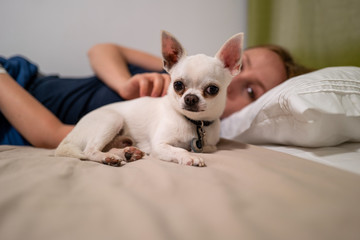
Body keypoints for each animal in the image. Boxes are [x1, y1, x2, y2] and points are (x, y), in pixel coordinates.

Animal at [54, 30, 243, 167]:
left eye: (212, 89)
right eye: (178, 85)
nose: (190, 98)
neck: (194, 122)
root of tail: (68, 138)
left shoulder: (210, 145)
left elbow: (208, 147)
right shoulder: (160, 146)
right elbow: (180, 150)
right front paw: (190, 157)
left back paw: (126, 153)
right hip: (112, 119)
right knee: (89, 151)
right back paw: (108, 158)